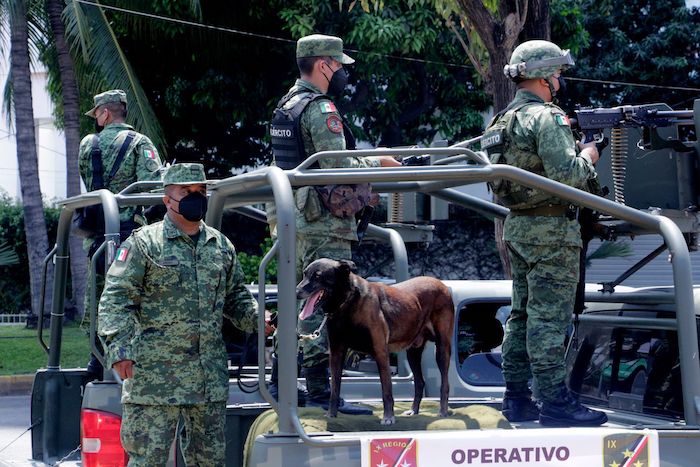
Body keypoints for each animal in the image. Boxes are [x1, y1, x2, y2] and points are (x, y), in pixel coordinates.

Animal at [297, 258, 454, 425]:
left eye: (318, 276)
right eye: (305, 274)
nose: (296, 292)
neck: (348, 303)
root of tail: (441, 284)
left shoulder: (380, 353)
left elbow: (386, 390)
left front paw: (388, 417)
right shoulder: (336, 353)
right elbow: (335, 389)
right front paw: (331, 415)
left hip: (442, 349)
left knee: (445, 383)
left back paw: (443, 411)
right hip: (413, 353)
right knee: (419, 382)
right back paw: (414, 410)